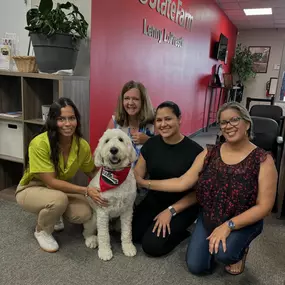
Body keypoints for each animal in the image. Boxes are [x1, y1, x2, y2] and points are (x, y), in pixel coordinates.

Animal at [82, 129, 137, 260]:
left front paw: (128, 248)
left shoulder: (128, 211)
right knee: (86, 231)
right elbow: (103, 235)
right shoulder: (103, 212)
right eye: (107, 141)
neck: (115, 176)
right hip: (94, 218)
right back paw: (91, 240)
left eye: (121, 139)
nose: (113, 149)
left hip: (117, 222)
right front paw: (105, 252)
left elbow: (127, 232)